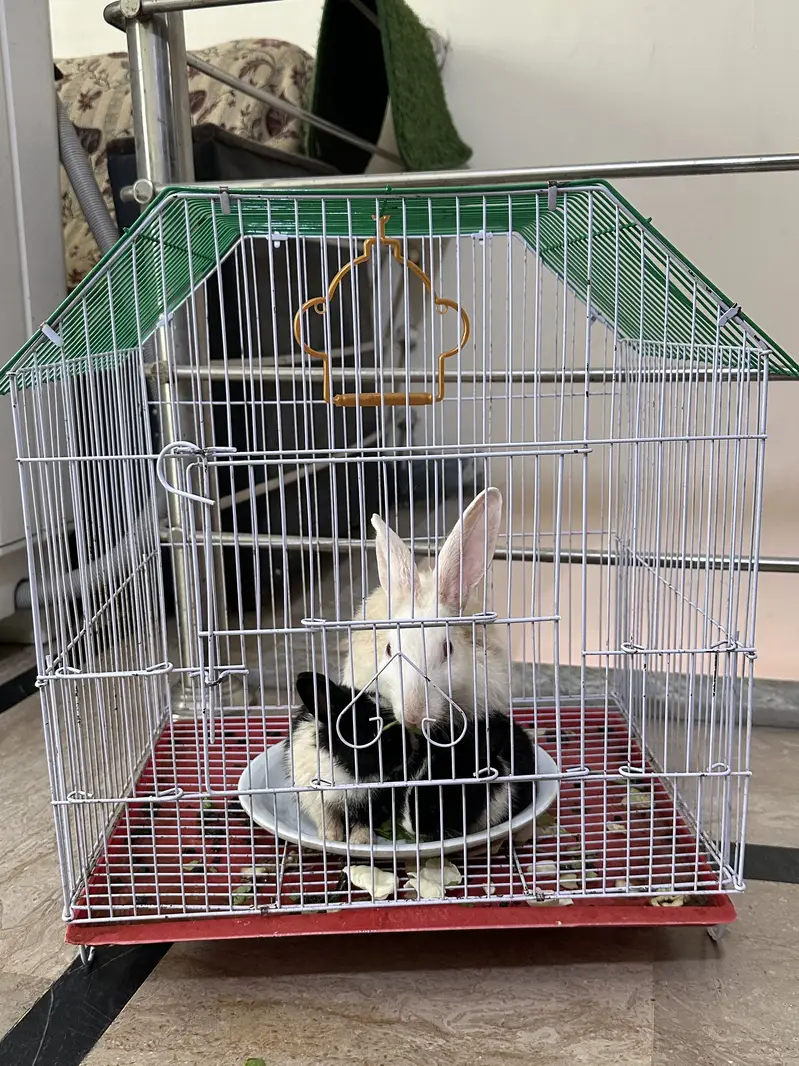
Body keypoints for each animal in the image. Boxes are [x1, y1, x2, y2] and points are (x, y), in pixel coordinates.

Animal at [287, 672, 417, 844]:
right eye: (375, 733)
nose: (410, 749)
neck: (350, 773)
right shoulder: (315, 797)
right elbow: (327, 817)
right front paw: (331, 838)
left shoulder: (374, 801)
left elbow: (365, 820)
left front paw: (361, 841)